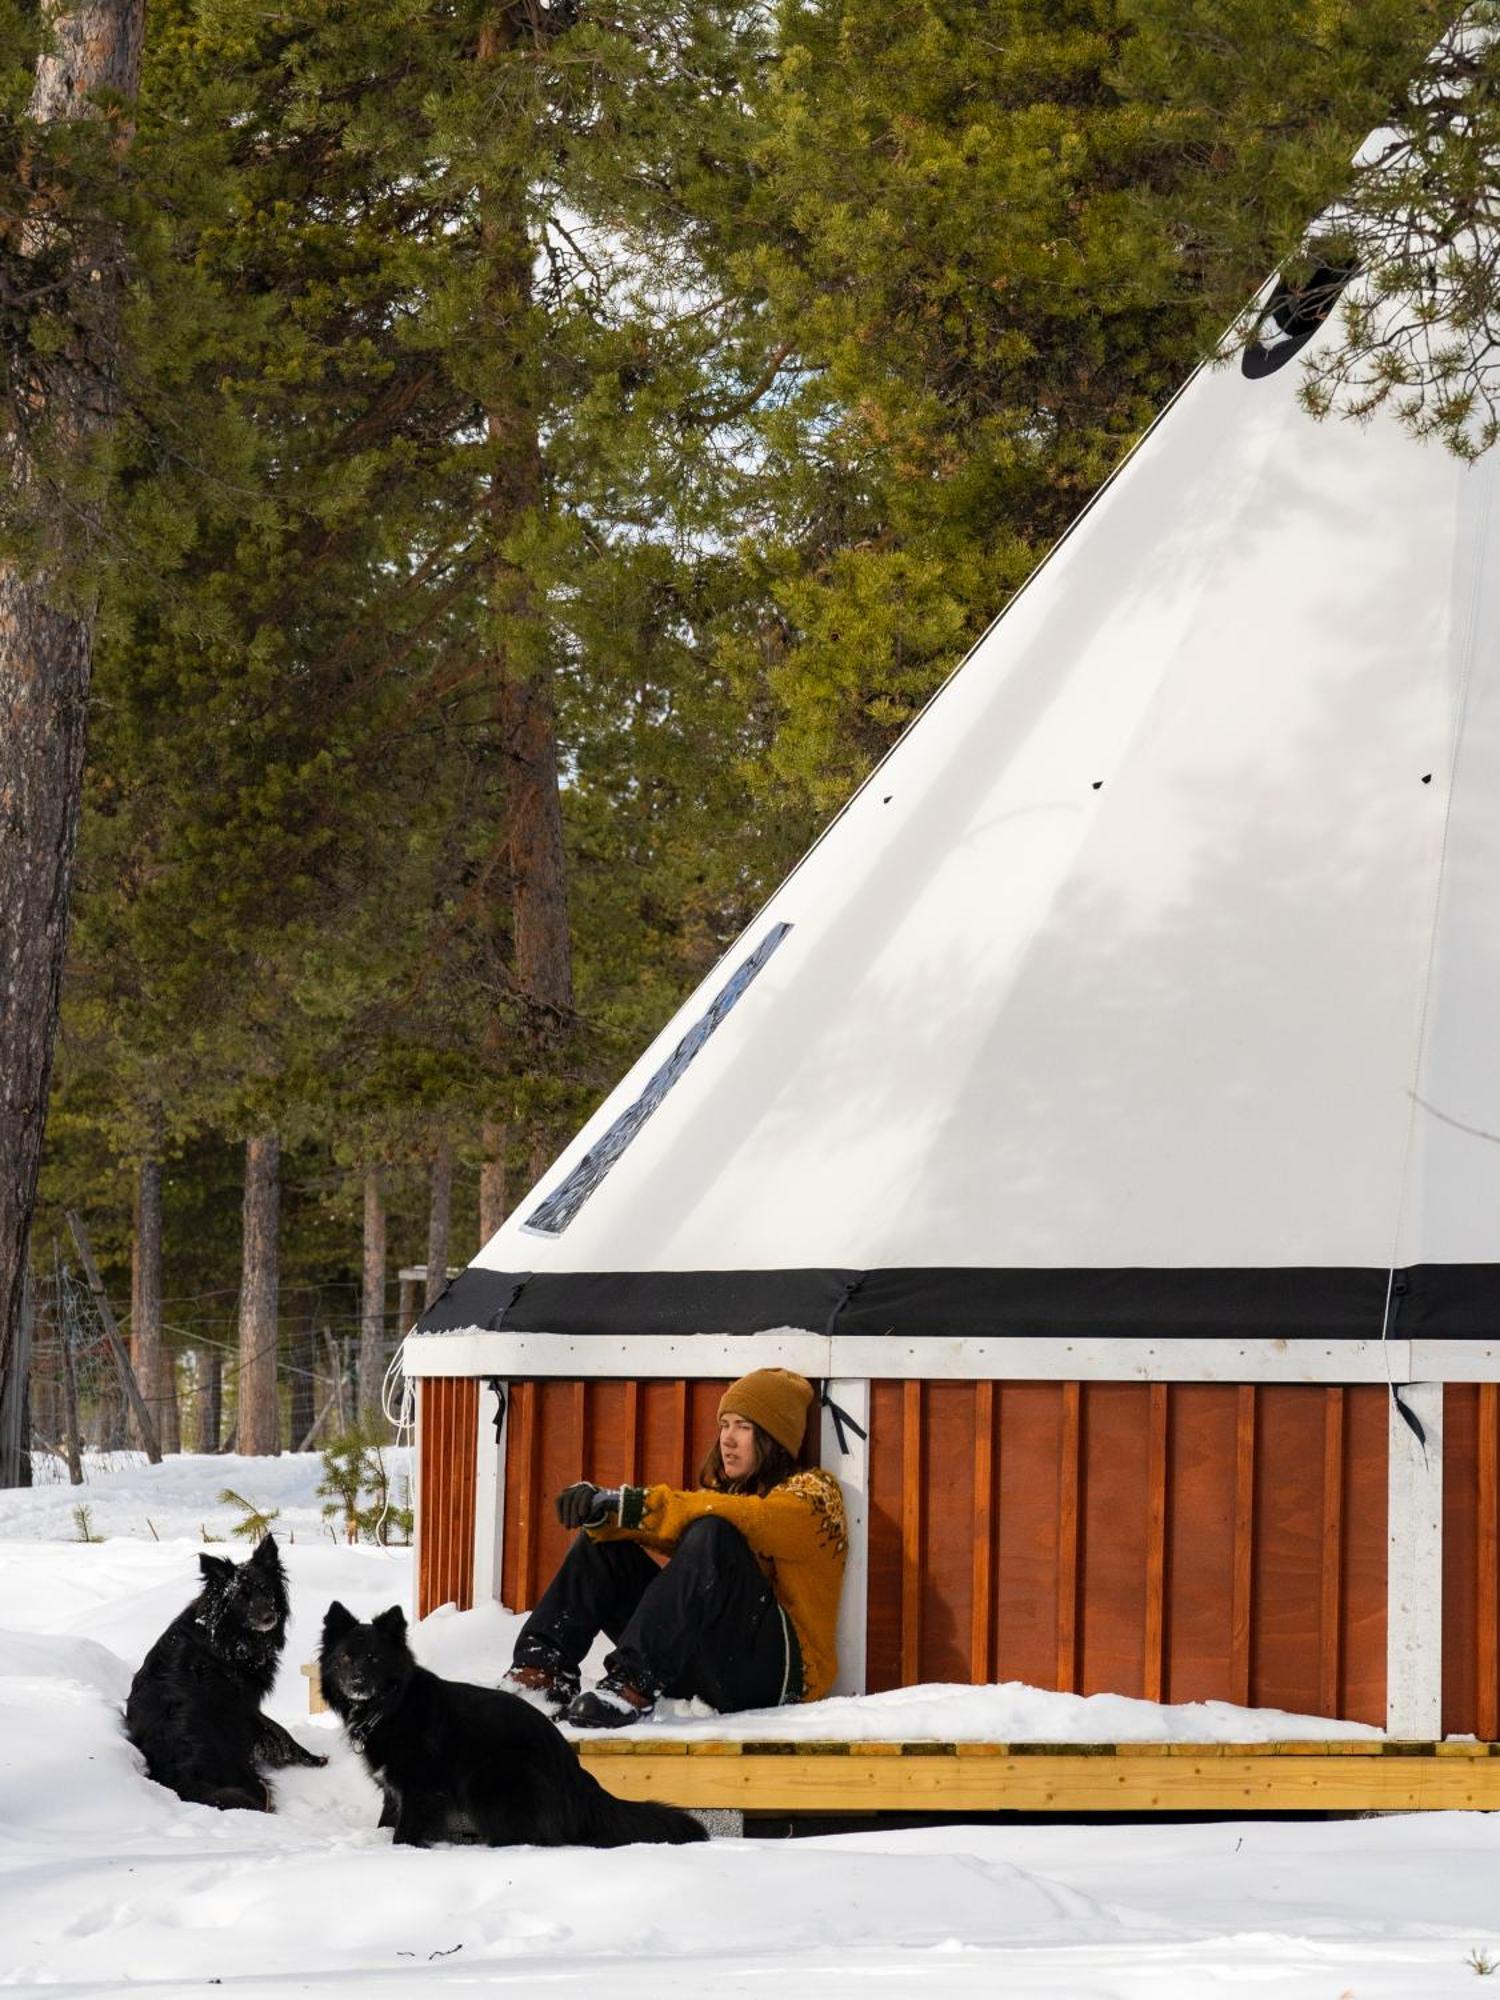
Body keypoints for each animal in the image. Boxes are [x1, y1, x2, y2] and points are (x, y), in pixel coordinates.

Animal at [126, 1528, 326, 1816]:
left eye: (266, 1589)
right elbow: (279, 1733)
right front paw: (314, 1759)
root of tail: (186, 1775)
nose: (269, 1617)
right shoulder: (246, 1706)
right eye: (240, 1596)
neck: (224, 1635)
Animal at [320, 1600, 708, 1848]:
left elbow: (406, 1829)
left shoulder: (421, 1788)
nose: (356, 1682)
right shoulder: (393, 1787)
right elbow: (388, 1818)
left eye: (374, 1658)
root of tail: (572, 1768)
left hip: (491, 1782)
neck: (389, 1706)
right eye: (345, 1658)